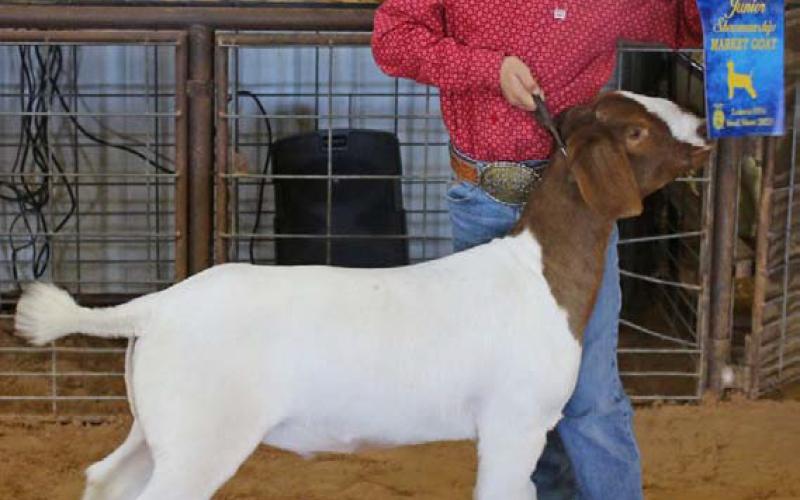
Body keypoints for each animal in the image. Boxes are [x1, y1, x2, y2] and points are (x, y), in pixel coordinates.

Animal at [14, 90, 711, 500]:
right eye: (637, 133)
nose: (705, 126)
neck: (536, 274)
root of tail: (158, 305)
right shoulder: (515, 423)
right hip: (200, 437)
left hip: (158, 424)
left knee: (106, 478)